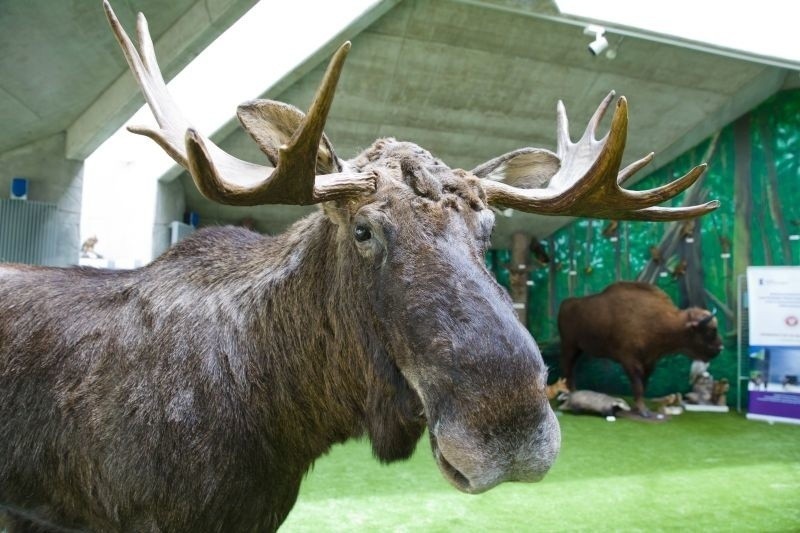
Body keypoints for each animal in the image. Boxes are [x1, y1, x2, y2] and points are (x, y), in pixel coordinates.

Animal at [560, 280, 720, 418]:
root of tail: (565, 304)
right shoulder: (630, 361)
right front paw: (644, 411)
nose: (720, 348)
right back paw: (571, 393)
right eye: (711, 330)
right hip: (569, 347)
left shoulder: (649, 361)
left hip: (578, 349)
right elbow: (638, 385)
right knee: (568, 368)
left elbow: (643, 383)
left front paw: (639, 408)